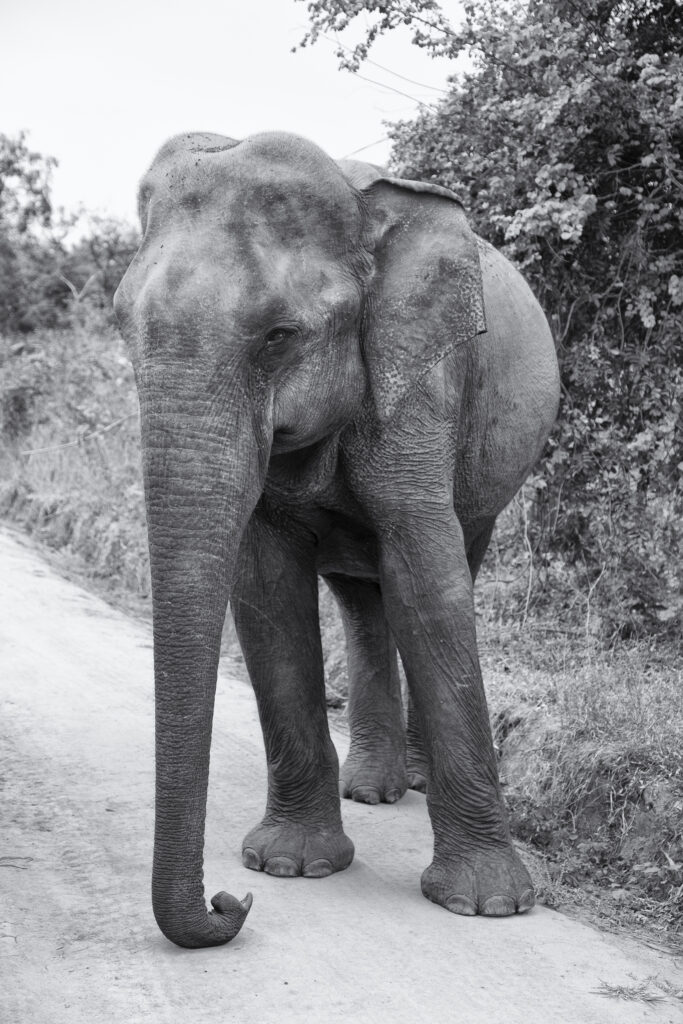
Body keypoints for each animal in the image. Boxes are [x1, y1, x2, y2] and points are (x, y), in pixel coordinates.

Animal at [114, 130, 560, 949]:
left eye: (279, 336)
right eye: (125, 328)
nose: (228, 902)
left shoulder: (422, 378)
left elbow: (427, 577)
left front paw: (488, 906)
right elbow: (266, 592)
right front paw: (291, 867)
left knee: (445, 562)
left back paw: (409, 784)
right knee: (361, 595)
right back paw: (372, 789)